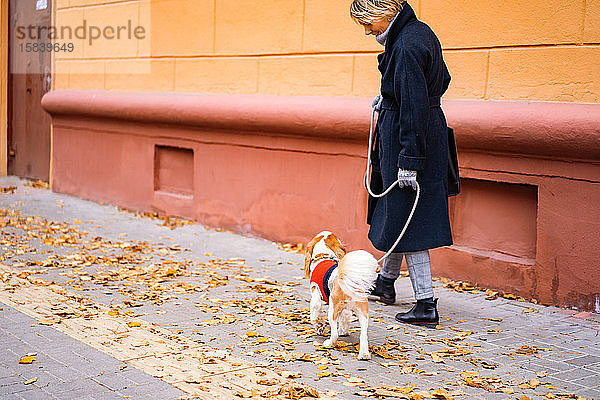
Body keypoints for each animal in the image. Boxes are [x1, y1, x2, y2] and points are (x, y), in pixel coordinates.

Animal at [304, 231, 380, 360]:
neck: (323, 255)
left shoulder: (315, 294)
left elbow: (315, 314)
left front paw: (319, 326)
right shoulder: (346, 311)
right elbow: (344, 320)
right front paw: (344, 331)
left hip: (333, 309)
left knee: (334, 335)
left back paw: (329, 343)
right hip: (363, 313)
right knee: (363, 335)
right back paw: (364, 354)